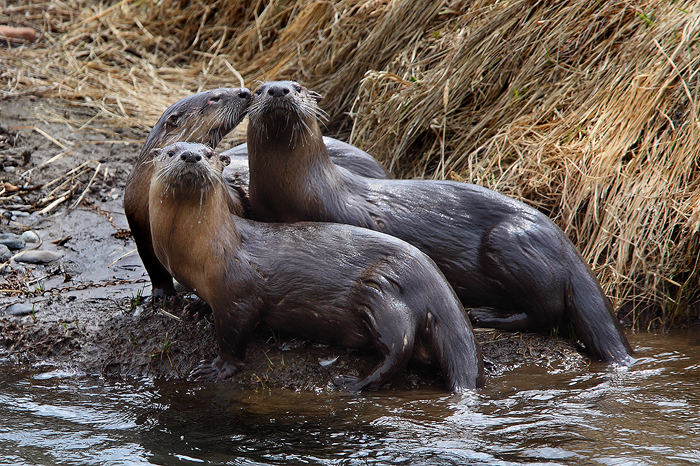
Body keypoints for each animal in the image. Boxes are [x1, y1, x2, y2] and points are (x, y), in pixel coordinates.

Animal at [147, 142, 485, 392]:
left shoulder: (238, 292)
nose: (191, 156)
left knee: (397, 348)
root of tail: (433, 278)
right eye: (171, 151)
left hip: (380, 293)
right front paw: (197, 307)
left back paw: (354, 383)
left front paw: (217, 367)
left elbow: (234, 337)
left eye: (209, 153)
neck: (203, 247)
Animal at [245, 81, 633, 365]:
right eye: (261, 88)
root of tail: (567, 244)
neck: (302, 189)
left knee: (548, 310)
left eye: (297, 87)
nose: (279, 90)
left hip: (509, 241)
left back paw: (486, 316)